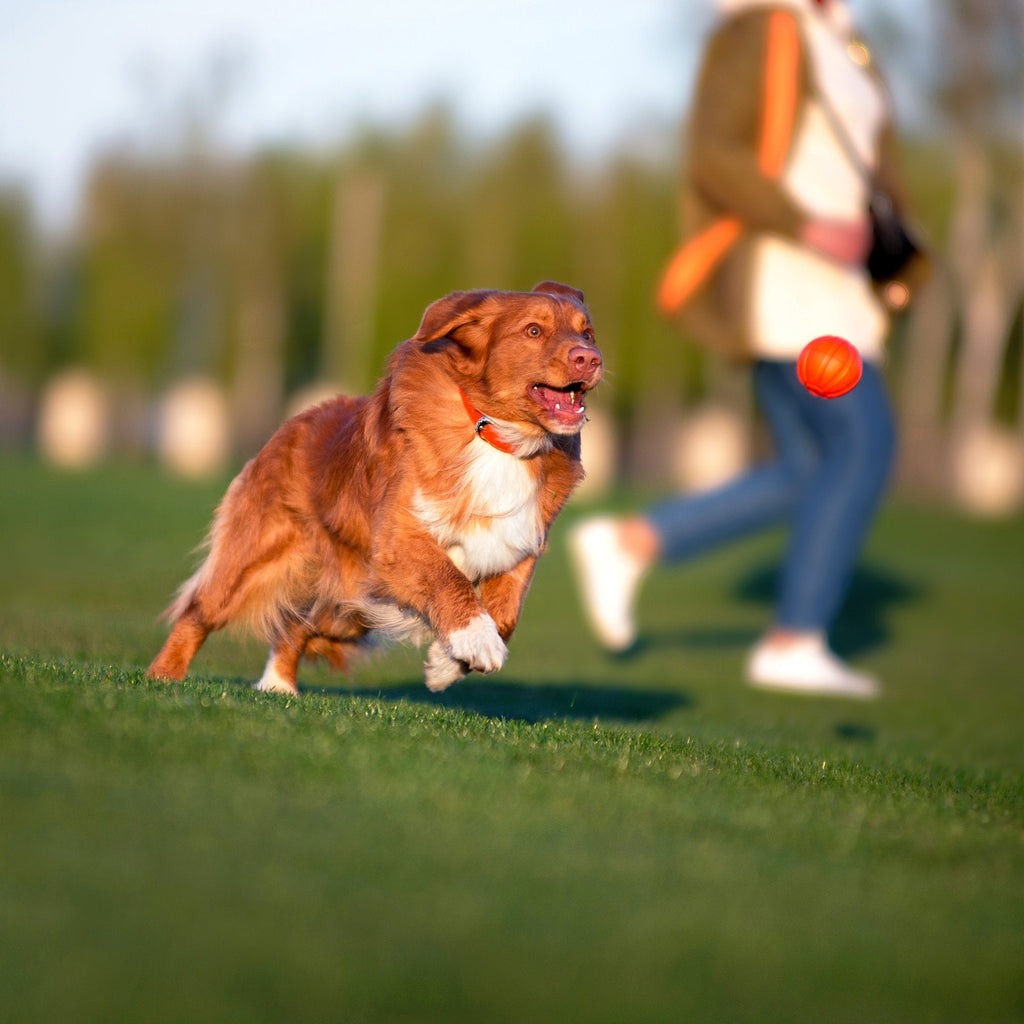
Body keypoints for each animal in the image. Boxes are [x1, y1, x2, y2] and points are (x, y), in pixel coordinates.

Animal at [146, 282, 598, 696]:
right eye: (534, 330)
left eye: (587, 332)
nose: (590, 358)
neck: (496, 436)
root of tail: (294, 421)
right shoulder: (398, 539)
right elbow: (449, 578)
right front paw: (476, 642)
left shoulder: (518, 542)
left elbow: (506, 615)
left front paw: (446, 664)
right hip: (256, 559)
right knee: (199, 611)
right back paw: (163, 676)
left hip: (349, 604)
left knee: (296, 626)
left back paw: (279, 687)